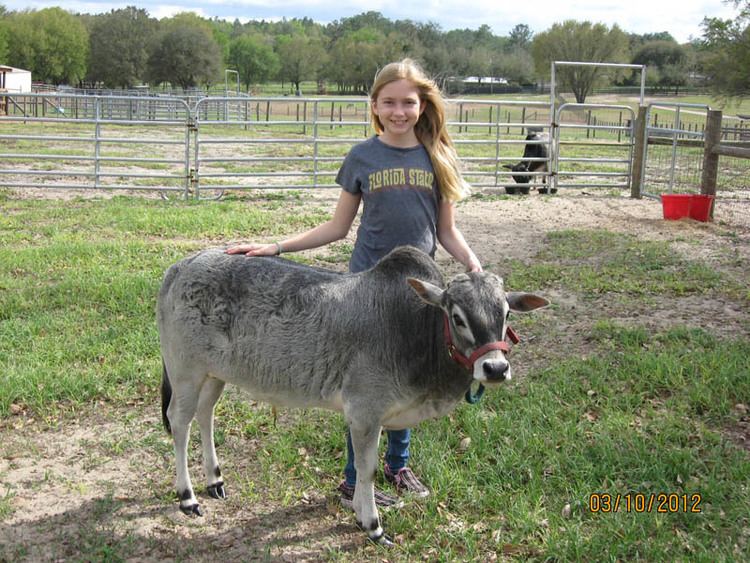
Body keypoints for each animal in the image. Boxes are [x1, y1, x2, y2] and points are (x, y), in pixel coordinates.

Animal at [156, 246, 548, 548]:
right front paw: (372, 525)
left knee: (205, 415)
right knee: (180, 422)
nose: (495, 368)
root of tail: (182, 266)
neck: (412, 328)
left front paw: (363, 514)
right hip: (185, 372)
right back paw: (188, 497)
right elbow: (367, 468)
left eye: (507, 313)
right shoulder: (364, 413)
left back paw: (215, 480)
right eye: (457, 317)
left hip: (213, 375)